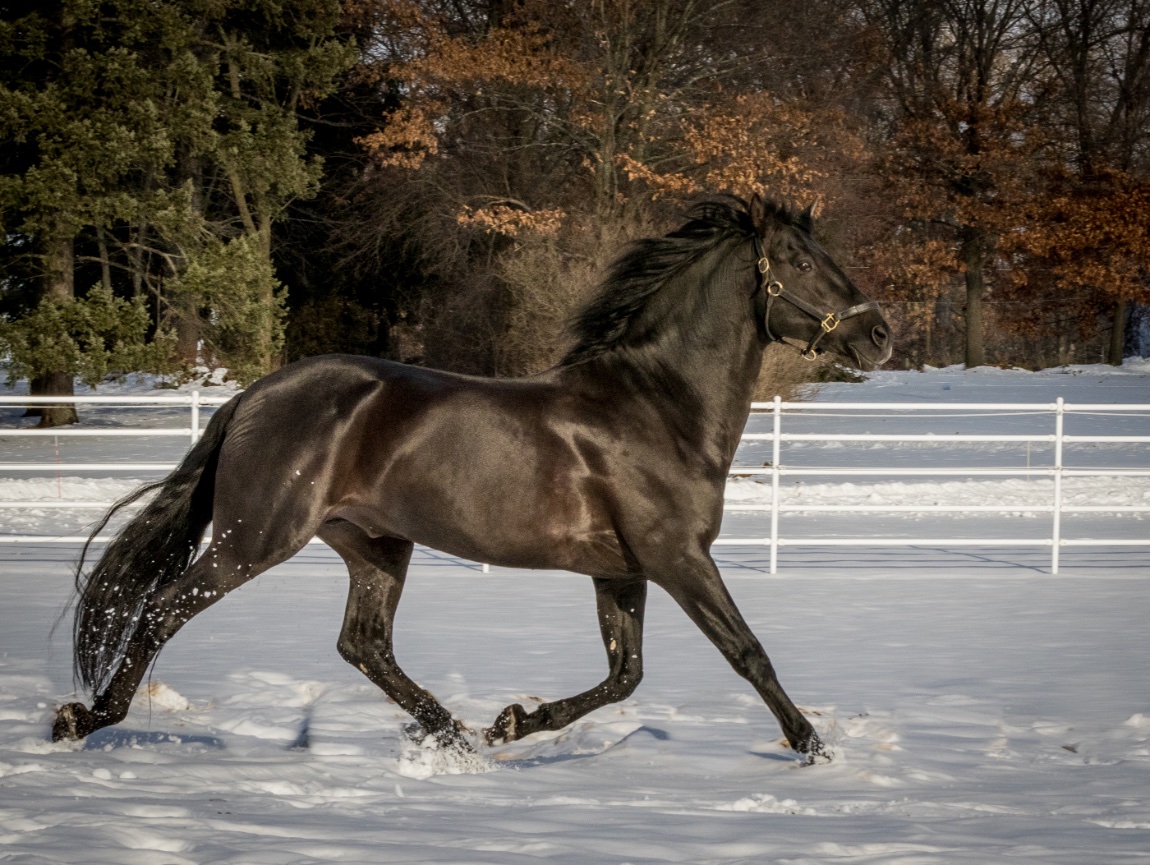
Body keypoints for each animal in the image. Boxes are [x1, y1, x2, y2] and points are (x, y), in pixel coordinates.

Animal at [52, 196, 891, 761]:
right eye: (802, 261)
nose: (880, 333)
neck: (657, 406)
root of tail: (254, 395)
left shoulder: (622, 570)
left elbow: (625, 674)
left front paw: (512, 721)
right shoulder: (677, 556)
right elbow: (747, 652)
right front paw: (813, 746)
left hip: (375, 545)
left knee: (364, 643)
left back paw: (456, 732)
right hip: (254, 537)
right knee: (164, 608)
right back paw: (82, 719)